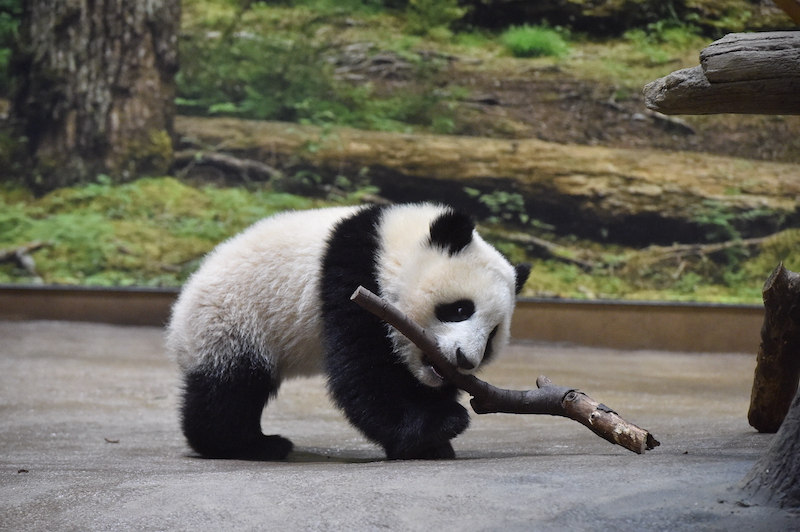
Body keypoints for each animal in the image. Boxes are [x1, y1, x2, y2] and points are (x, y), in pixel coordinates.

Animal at [167, 202, 532, 460]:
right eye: (459, 309)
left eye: (492, 336)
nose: (464, 360)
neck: (392, 247)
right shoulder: (354, 279)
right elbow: (364, 370)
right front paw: (440, 425)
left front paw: (430, 442)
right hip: (233, 320)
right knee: (232, 386)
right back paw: (247, 445)